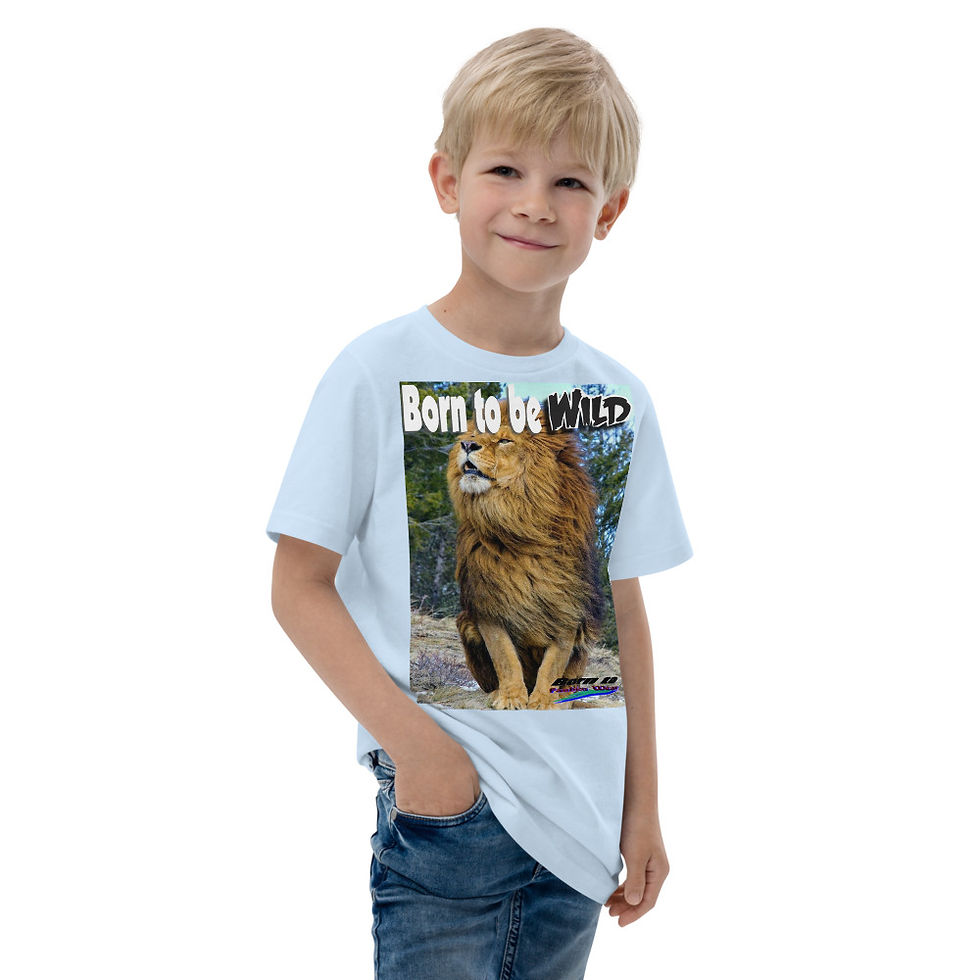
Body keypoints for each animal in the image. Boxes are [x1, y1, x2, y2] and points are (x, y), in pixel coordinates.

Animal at [446, 400, 604, 709]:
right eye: (475, 434)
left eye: (505, 440)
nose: (466, 444)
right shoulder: (487, 602)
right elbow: (504, 655)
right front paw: (510, 697)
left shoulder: (567, 607)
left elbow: (553, 664)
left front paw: (543, 701)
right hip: (465, 621)